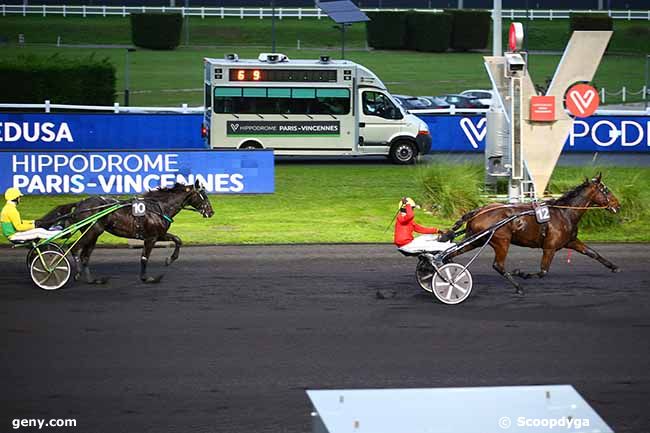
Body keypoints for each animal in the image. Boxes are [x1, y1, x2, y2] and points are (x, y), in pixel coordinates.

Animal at [40, 181, 213, 286]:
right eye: (203, 196)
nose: (211, 212)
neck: (158, 207)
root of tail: (80, 204)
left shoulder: (159, 234)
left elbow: (178, 240)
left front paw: (169, 260)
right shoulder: (151, 237)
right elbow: (144, 258)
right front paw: (147, 278)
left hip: (94, 234)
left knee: (85, 256)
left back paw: (92, 280)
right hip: (93, 231)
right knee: (75, 249)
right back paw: (75, 274)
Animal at [448, 173, 620, 294]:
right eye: (606, 190)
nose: (618, 205)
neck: (564, 213)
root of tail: (479, 211)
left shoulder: (570, 241)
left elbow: (592, 253)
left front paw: (614, 267)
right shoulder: (550, 247)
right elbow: (543, 271)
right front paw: (521, 273)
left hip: (475, 240)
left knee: (452, 253)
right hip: (501, 241)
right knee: (498, 265)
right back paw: (518, 287)